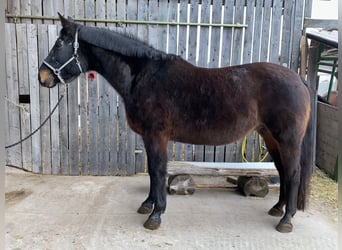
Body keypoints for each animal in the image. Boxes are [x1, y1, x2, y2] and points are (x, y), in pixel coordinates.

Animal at [38, 13, 312, 232]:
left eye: (60, 43)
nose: (42, 76)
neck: (144, 76)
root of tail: (298, 79)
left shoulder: (156, 135)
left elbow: (158, 170)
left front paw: (155, 214)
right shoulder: (149, 137)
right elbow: (152, 170)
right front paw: (147, 204)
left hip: (287, 139)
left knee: (293, 173)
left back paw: (286, 220)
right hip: (270, 137)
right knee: (283, 171)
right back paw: (277, 208)